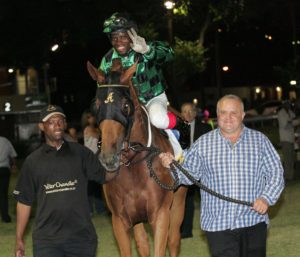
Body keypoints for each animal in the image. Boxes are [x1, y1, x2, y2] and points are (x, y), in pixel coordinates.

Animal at [85, 60, 186, 256]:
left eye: (126, 106)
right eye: (95, 105)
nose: (108, 158)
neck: (134, 164)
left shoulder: (161, 214)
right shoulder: (119, 220)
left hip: (178, 203)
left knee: (174, 241)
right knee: (143, 244)